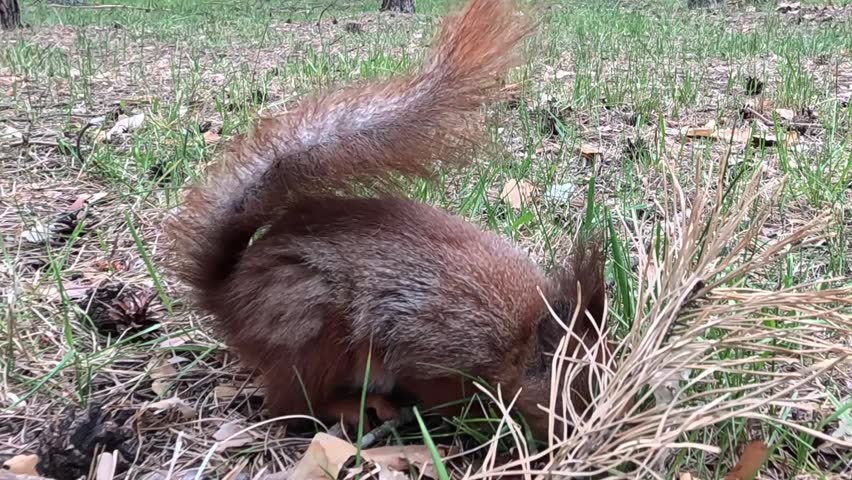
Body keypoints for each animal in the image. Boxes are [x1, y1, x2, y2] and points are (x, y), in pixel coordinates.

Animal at [166, 0, 610, 440]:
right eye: (570, 394)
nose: (592, 432)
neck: (521, 332)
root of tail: (228, 296)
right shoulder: (438, 349)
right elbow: (441, 394)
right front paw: (477, 418)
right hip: (313, 332)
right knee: (291, 407)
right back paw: (354, 408)